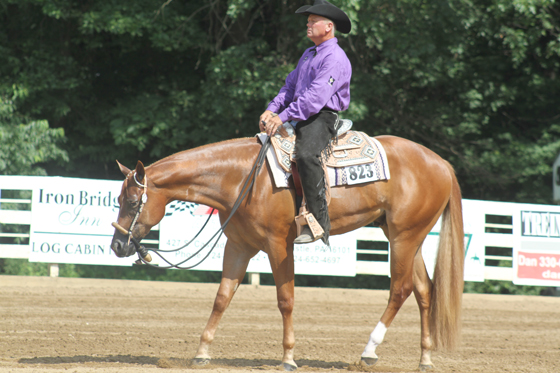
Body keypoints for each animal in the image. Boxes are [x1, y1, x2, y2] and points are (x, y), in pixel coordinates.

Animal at [109, 134, 464, 370]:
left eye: (132, 202)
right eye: (118, 199)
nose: (116, 246)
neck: (242, 179)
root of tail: (442, 163)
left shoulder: (278, 245)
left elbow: (285, 299)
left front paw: (289, 357)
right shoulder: (239, 246)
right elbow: (222, 297)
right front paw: (202, 352)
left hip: (405, 236)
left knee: (400, 289)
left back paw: (369, 350)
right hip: (403, 235)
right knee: (424, 290)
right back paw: (425, 358)